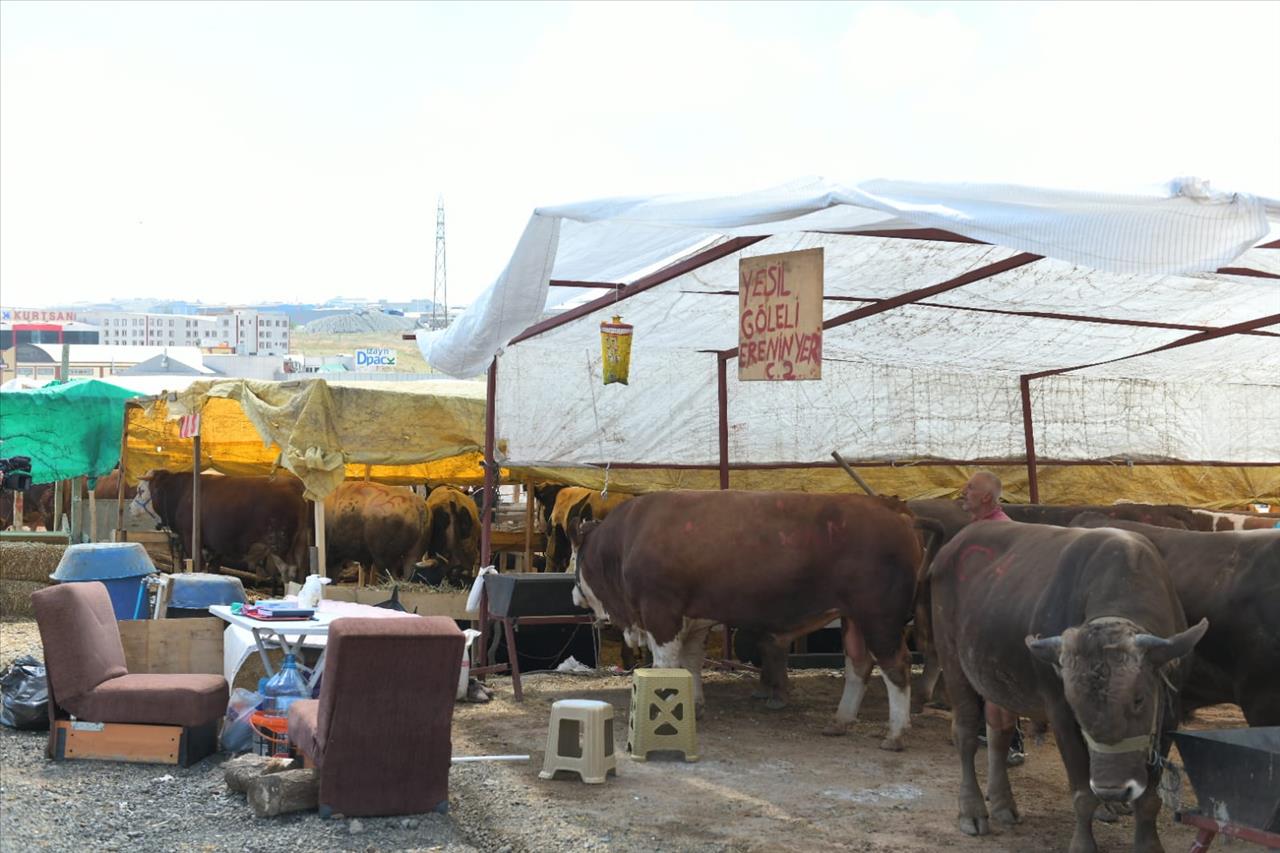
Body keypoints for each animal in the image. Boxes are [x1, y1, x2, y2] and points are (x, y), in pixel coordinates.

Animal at [131, 468, 309, 581]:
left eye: (140, 490)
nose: (131, 507)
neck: (181, 493)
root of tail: (296, 485)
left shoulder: (191, 539)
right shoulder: (215, 547)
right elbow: (213, 570)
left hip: (280, 544)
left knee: (288, 572)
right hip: (299, 543)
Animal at [926, 522, 1203, 845]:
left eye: (1139, 699)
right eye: (1074, 704)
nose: (1112, 790)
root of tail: (955, 542)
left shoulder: (1169, 715)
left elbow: (1148, 800)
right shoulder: (1060, 714)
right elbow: (1083, 796)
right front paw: (1084, 842)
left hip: (995, 676)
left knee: (999, 733)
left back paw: (1003, 803)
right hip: (952, 661)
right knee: (966, 734)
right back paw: (972, 810)